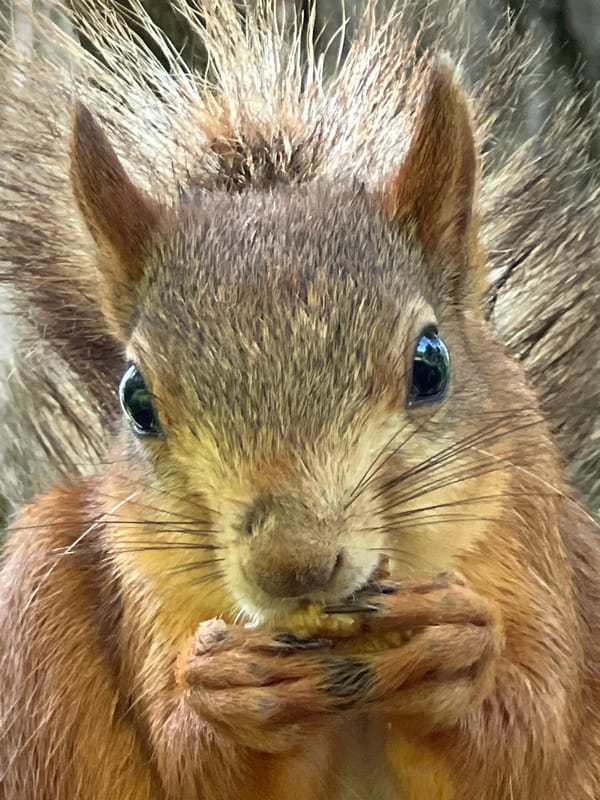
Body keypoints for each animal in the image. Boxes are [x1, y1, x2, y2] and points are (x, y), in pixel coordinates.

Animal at [0, 1, 599, 799]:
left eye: (430, 364)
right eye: (135, 400)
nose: (293, 567)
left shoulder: (530, 536)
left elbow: (523, 738)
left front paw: (454, 654)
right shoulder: (145, 584)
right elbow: (192, 763)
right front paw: (226, 694)